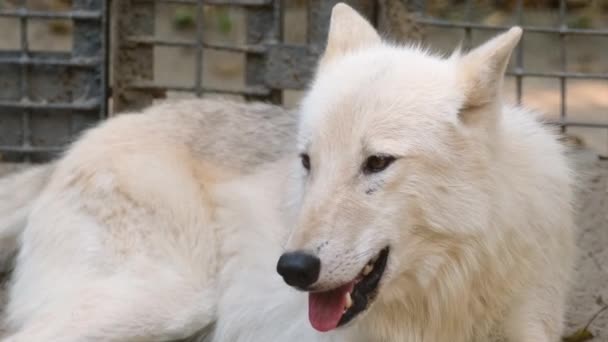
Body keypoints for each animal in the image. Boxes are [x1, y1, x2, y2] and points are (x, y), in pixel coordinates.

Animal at [0, 3, 576, 342]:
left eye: (377, 162)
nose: (293, 268)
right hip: (168, 301)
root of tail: (67, 155)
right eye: (307, 161)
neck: (445, 296)